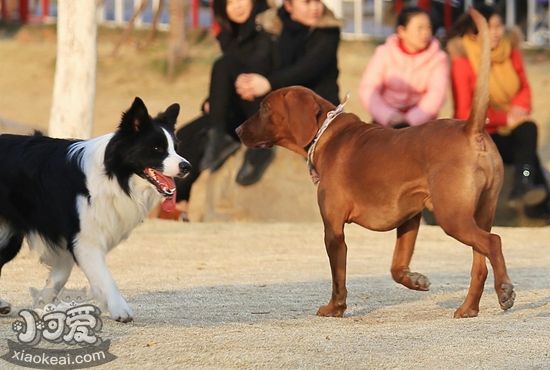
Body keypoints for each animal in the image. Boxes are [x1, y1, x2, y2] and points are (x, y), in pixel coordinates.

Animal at [0, 97, 192, 322]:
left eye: (175, 148)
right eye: (156, 148)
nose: (187, 166)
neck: (112, 174)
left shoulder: (68, 239)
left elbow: (60, 276)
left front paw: (43, 303)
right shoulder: (84, 238)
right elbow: (104, 276)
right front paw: (120, 309)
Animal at [237, 9, 516, 318]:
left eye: (264, 108)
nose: (237, 130)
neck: (326, 133)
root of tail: (471, 129)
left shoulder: (333, 229)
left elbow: (338, 278)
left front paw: (335, 308)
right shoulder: (410, 218)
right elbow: (396, 268)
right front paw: (415, 280)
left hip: (453, 217)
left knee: (494, 241)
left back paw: (504, 291)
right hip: (480, 212)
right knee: (480, 263)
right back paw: (468, 308)